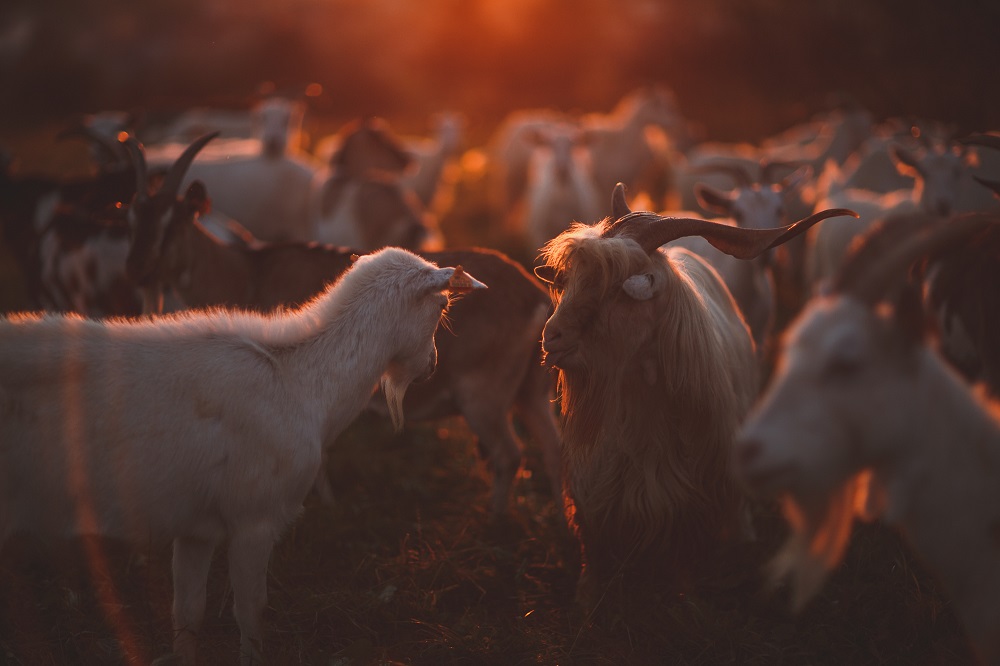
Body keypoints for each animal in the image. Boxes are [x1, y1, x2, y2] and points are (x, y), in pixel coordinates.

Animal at [0, 246, 484, 660]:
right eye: (442, 306)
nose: (432, 364)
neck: (304, 382)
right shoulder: (254, 517)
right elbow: (251, 613)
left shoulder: (195, 525)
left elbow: (187, 613)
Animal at [536, 184, 856, 604]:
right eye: (569, 281)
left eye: (618, 289)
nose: (551, 336)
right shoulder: (592, 487)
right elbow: (594, 549)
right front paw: (587, 596)